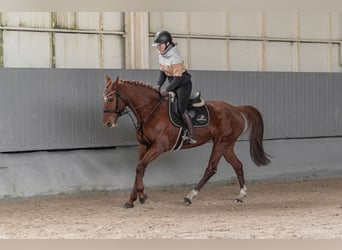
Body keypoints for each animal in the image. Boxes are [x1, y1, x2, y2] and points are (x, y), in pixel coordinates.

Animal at [101, 75, 270, 207]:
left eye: (111, 98)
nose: (107, 123)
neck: (151, 111)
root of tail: (235, 109)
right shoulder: (143, 146)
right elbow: (138, 169)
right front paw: (131, 200)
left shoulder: (159, 147)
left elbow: (140, 166)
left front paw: (142, 197)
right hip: (227, 145)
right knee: (237, 165)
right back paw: (240, 196)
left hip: (221, 143)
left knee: (211, 168)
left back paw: (190, 196)